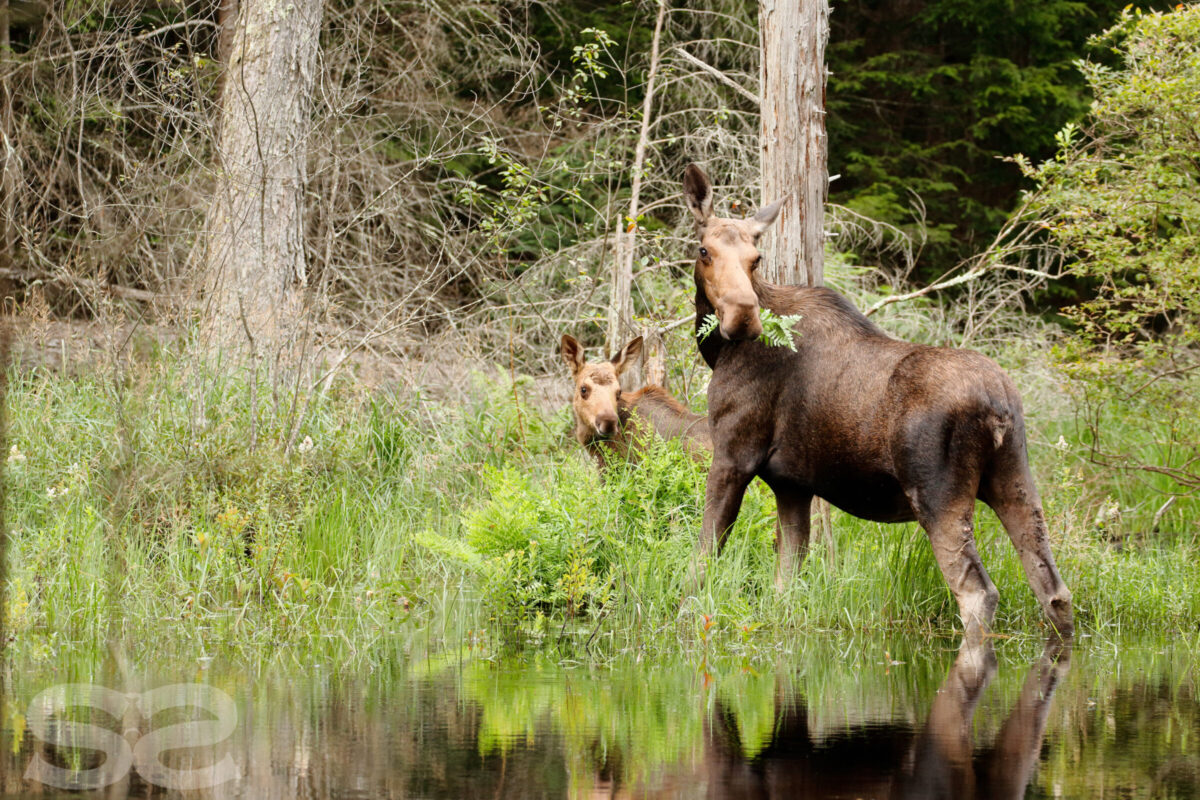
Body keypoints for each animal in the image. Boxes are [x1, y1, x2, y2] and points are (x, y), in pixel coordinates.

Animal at [680, 163, 1073, 638]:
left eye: (755, 259)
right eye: (704, 251)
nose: (743, 316)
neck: (717, 351)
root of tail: (998, 407)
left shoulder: (733, 455)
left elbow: (702, 561)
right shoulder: (792, 485)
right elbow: (786, 582)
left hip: (938, 494)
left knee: (978, 594)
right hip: (1016, 478)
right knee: (1054, 591)